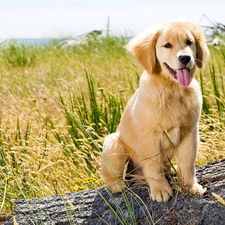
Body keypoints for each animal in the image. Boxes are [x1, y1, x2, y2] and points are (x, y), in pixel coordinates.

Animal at [101, 22, 210, 202]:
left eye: (189, 42)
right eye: (167, 45)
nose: (185, 58)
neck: (172, 91)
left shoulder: (190, 133)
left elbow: (188, 163)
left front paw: (190, 187)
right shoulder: (149, 137)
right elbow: (153, 165)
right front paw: (160, 190)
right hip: (114, 143)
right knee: (112, 173)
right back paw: (118, 185)